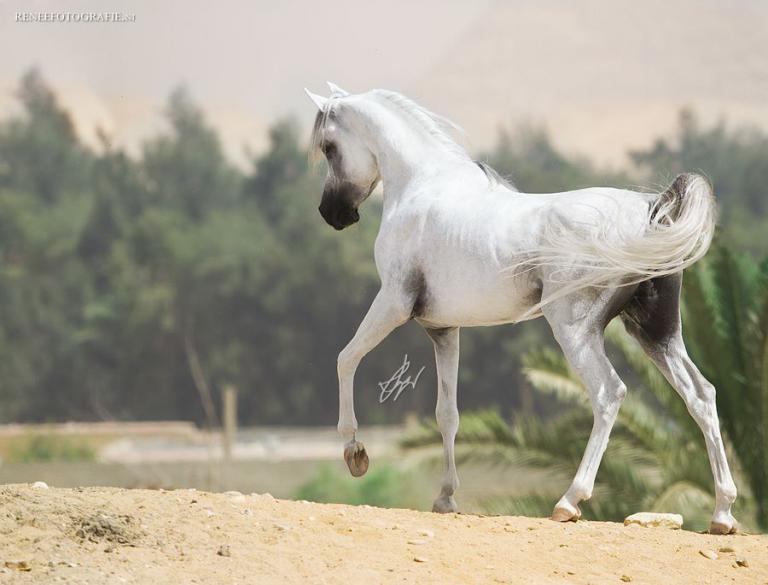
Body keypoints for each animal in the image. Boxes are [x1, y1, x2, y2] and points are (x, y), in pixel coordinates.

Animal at [304, 82, 738, 534]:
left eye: (329, 146)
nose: (332, 214)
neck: (423, 186)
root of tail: (651, 210)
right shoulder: (444, 330)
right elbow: (447, 413)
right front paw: (446, 497)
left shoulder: (392, 302)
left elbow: (346, 359)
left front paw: (354, 452)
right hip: (655, 333)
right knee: (701, 395)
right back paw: (722, 513)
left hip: (576, 332)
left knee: (609, 394)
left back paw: (569, 500)